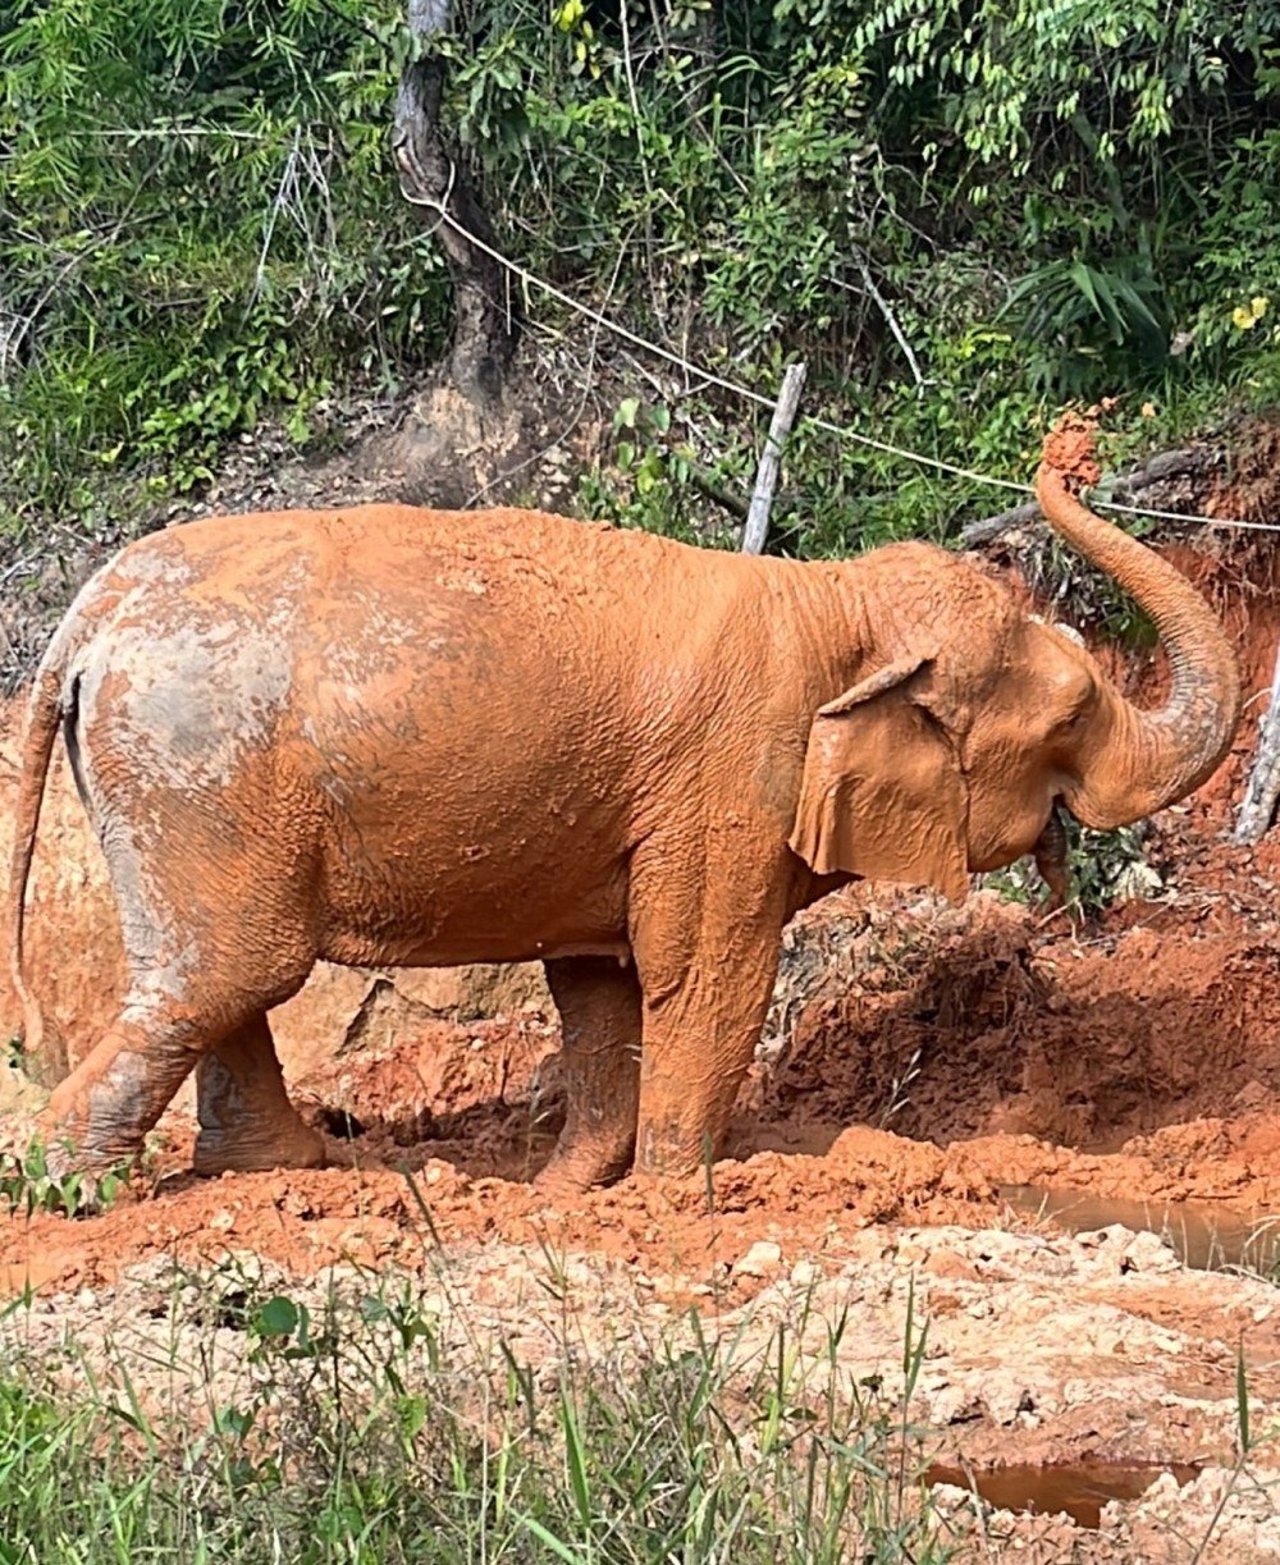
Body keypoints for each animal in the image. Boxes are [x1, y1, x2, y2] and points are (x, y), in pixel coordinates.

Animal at [2, 416, 1239, 1183]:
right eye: (1071, 712)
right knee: (229, 970)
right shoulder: (727, 782)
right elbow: (706, 974)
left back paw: (283, 1171)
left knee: (215, 981)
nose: (1068, 447)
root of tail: (87, 612)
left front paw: (569, 1187)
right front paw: (677, 1189)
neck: (831, 603)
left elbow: (600, 988)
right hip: (196, 775)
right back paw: (63, 1186)